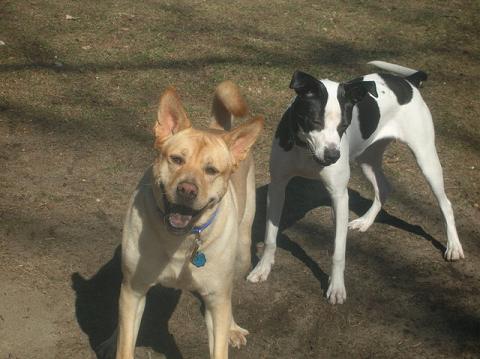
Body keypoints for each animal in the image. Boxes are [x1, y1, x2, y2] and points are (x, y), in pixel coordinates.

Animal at [111, 81, 262, 359]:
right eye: (176, 159)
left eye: (211, 170)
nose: (187, 190)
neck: (180, 242)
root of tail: (218, 127)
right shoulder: (133, 290)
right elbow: (125, 345)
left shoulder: (216, 298)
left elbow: (219, 342)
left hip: (242, 254)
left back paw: (233, 327)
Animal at [248, 61, 462, 304]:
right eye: (315, 121)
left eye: (344, 125)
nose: (333, 156)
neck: (305, 151)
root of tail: (409, 81)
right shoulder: (277, 187)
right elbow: (270, 236)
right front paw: (263, 268)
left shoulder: (339, 196)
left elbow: (338, 251)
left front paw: (336, 287)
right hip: (367, 159)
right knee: (383, 188)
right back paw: (365, 222)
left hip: (425, 158)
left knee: (446, 204)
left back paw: (454, 246)